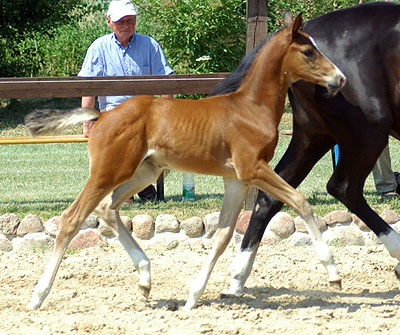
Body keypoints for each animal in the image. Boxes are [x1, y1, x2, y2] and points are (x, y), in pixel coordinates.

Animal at [25, 13, 346, 312]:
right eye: (308, 51)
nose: (340, 78)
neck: (250, 107)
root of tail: (101, 117)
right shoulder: (252, 168)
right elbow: (300, 202)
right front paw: (333, 273)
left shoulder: (236, 180)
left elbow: (222, 235)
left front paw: (193, 297)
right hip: (108, 172)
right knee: (72, 218)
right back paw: (38, 296)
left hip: (143, 172)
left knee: (107, 208)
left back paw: (145, 278)